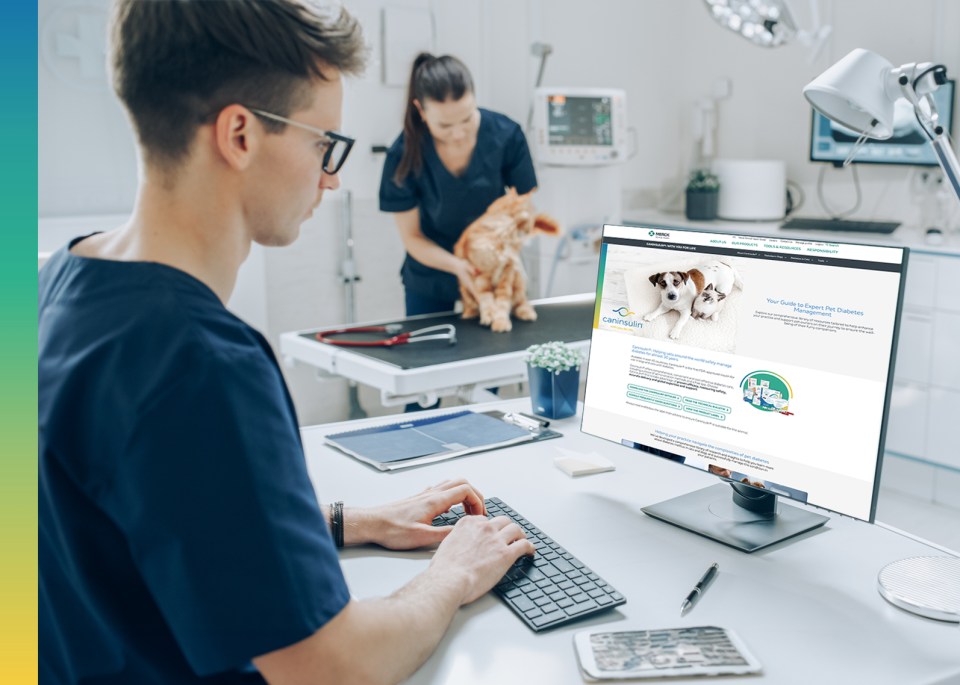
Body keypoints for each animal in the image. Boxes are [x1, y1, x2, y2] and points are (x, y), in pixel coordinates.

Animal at [454, 188, 560, 332]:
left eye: (533, 221)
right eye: (530, 218)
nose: (529, 229)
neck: (503, 239)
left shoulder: (507, 275)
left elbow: (503, 303)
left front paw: (501, 323)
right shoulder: (482, 277)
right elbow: (487, 300)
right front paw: (489, 316)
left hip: (519, 284)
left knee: (520, 303)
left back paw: (527, 313)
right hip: (465, 291)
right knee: (470, 305)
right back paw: (469, 314)